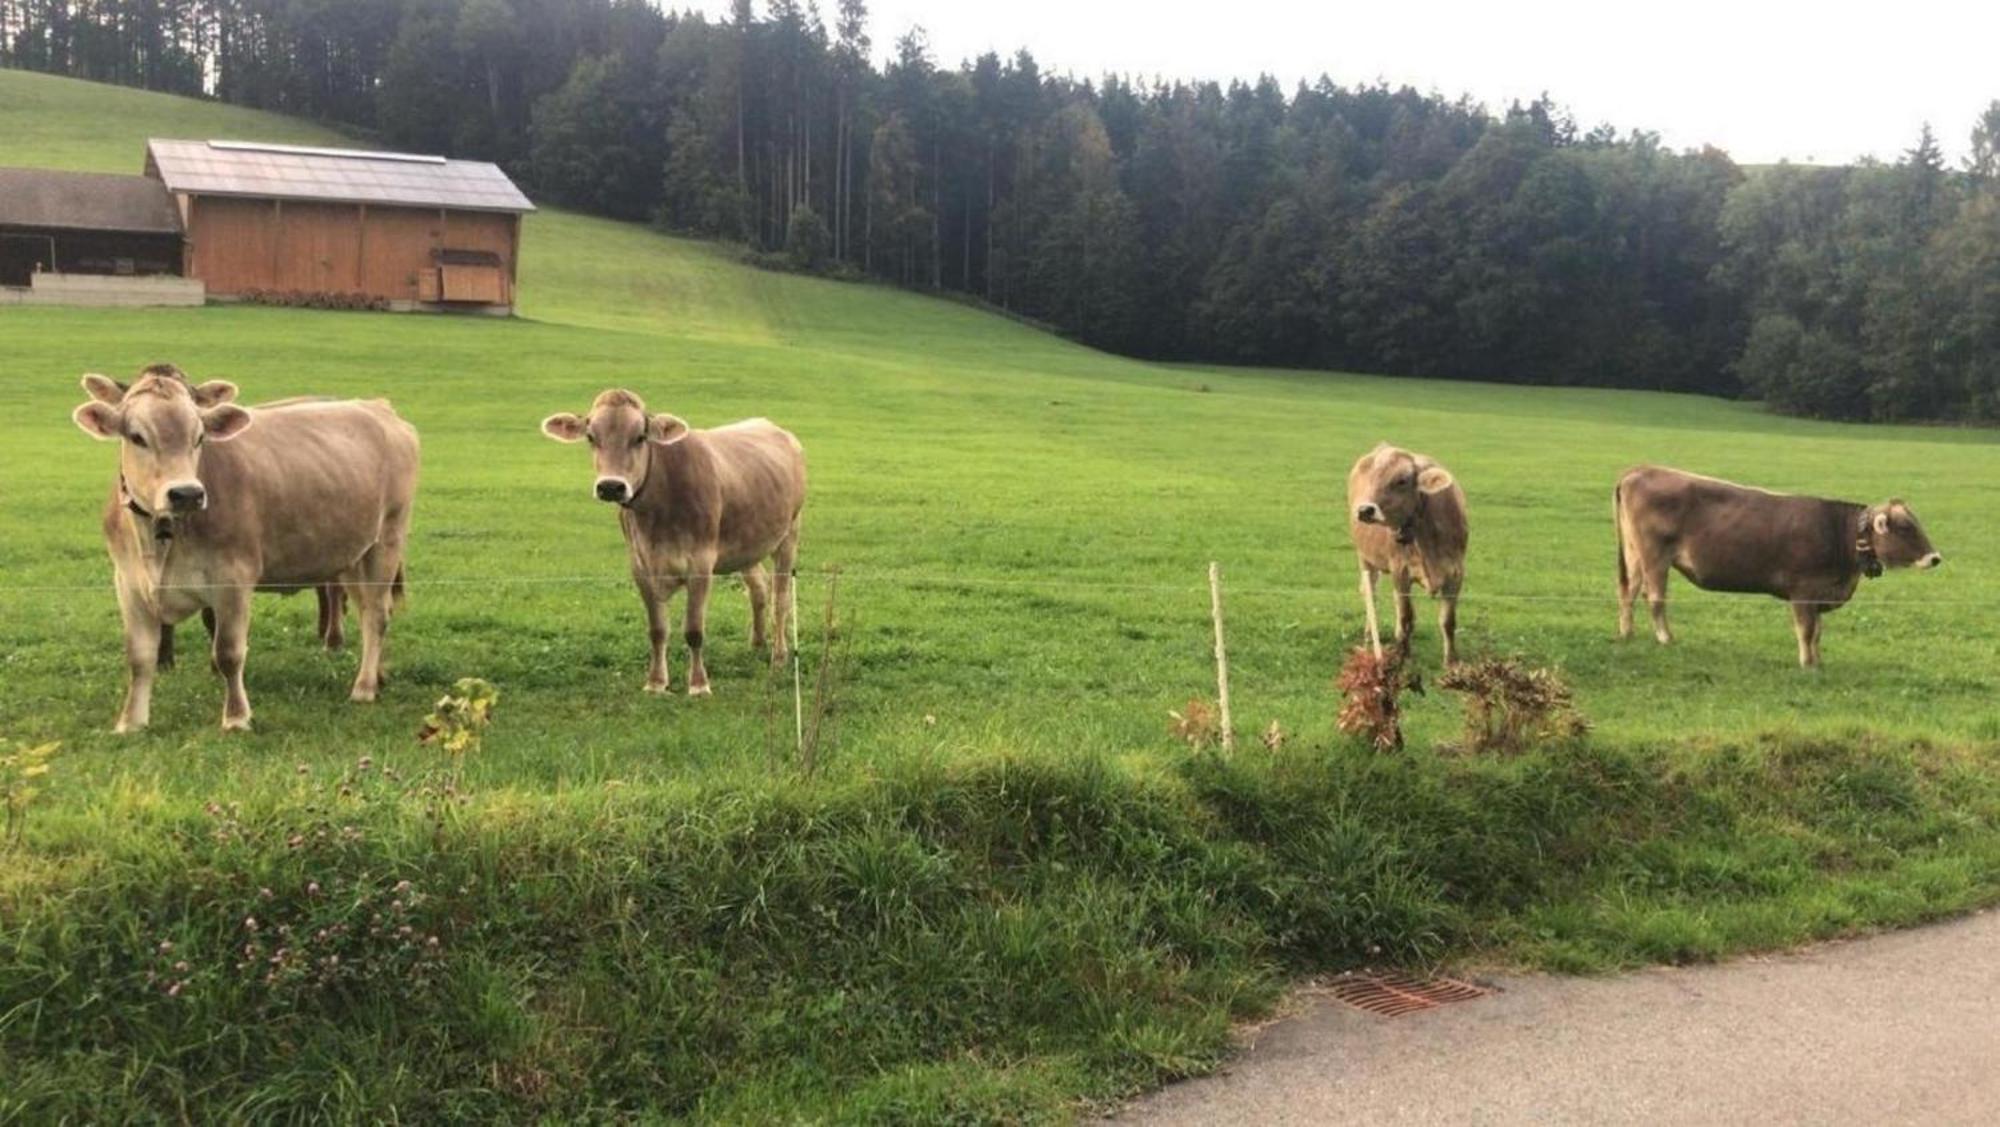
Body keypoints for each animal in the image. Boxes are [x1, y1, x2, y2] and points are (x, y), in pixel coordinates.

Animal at [80, 369, 348, 667]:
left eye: (200, 435)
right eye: (136, 437)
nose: (185, 494)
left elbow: (213, 619)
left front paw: (212, 663)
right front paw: (164, 659)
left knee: (334, 589)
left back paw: (332, 638)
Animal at [544, 391, 808, 699]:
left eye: (640, 437)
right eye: (591, 436)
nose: (611, 486)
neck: (656, 517)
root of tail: (775, 428)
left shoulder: (701, 563)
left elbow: (694, 630)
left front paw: (699, 684)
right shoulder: (640, 567)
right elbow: (657, 630)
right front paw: (656, 682)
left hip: (789, 534)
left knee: (781, 598)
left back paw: (779, 656)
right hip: (747, 543)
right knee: (759, 588)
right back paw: (756, 643)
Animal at [1344, 445, 1472, 663]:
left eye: (1402, 481)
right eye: (1372, 478)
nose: (1365, 510)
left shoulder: (1455, 573)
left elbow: (1448, 621)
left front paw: (1451, 662)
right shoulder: (1401, 571)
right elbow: (1407, 618)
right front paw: (1403, 659)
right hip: (1365, 559)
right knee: (1371, 595)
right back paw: (1370, 637)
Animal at [1616, 463, 1944, 663]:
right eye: (1905, 528)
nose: (1935, 557)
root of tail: (1641, 470)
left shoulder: (1818, 594)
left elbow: (1818, 631)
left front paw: (1818, 661)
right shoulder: (1804, 591)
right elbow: (1807, 630)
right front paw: (1807, 663)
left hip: (1635, 554)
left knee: (1628, 591)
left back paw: (1627, 632)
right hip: (1655, 556)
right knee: (1654, 596)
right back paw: (1665, 638)